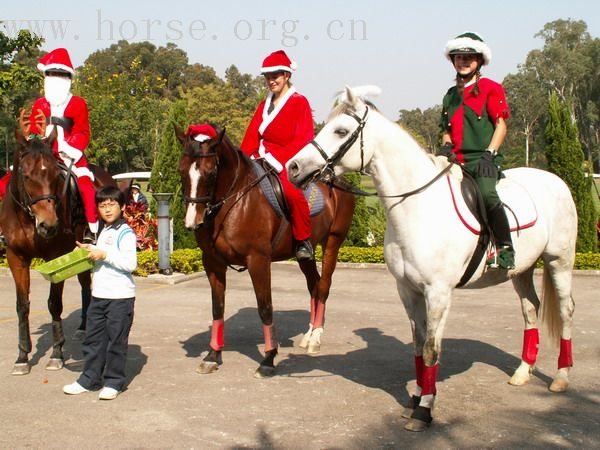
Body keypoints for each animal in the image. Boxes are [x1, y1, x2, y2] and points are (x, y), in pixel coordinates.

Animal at [0, 112, 115, 376]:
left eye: (54, 176)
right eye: (26, 175)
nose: (49, 225)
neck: (28, 218)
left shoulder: (56, 256)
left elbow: (54, 304)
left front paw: (56, 354)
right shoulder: (15, 256)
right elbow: (22, 305)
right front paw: (22, 356)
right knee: (85, 284)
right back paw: (82, 325)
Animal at [177, 125, 356, 378]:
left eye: (211, 172)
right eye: (181, 171)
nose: (193, 222)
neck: (234, 201)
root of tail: (338, 182)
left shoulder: (258, 261)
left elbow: (265, 308)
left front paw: (269, 358)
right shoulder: (212, 262)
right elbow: (217, 308)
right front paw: (213, 355)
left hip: (333, 242)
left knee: (323, 286)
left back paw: (316, 337)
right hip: (306, 254)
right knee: (314, 284)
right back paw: (309, 334)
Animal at [288, 85, 580, 432]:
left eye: (341, 131)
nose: (293, 167)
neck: (417, 206)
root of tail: (555, 180)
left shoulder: (438, 293)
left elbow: (430, 350)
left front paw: (425, 411)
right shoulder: (408, 290)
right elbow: (417, 347)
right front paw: (415, 399)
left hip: (559, 261)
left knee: (565, 310)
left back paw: (561, 377)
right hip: (522, 270)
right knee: (530, 309)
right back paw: (523, 372)